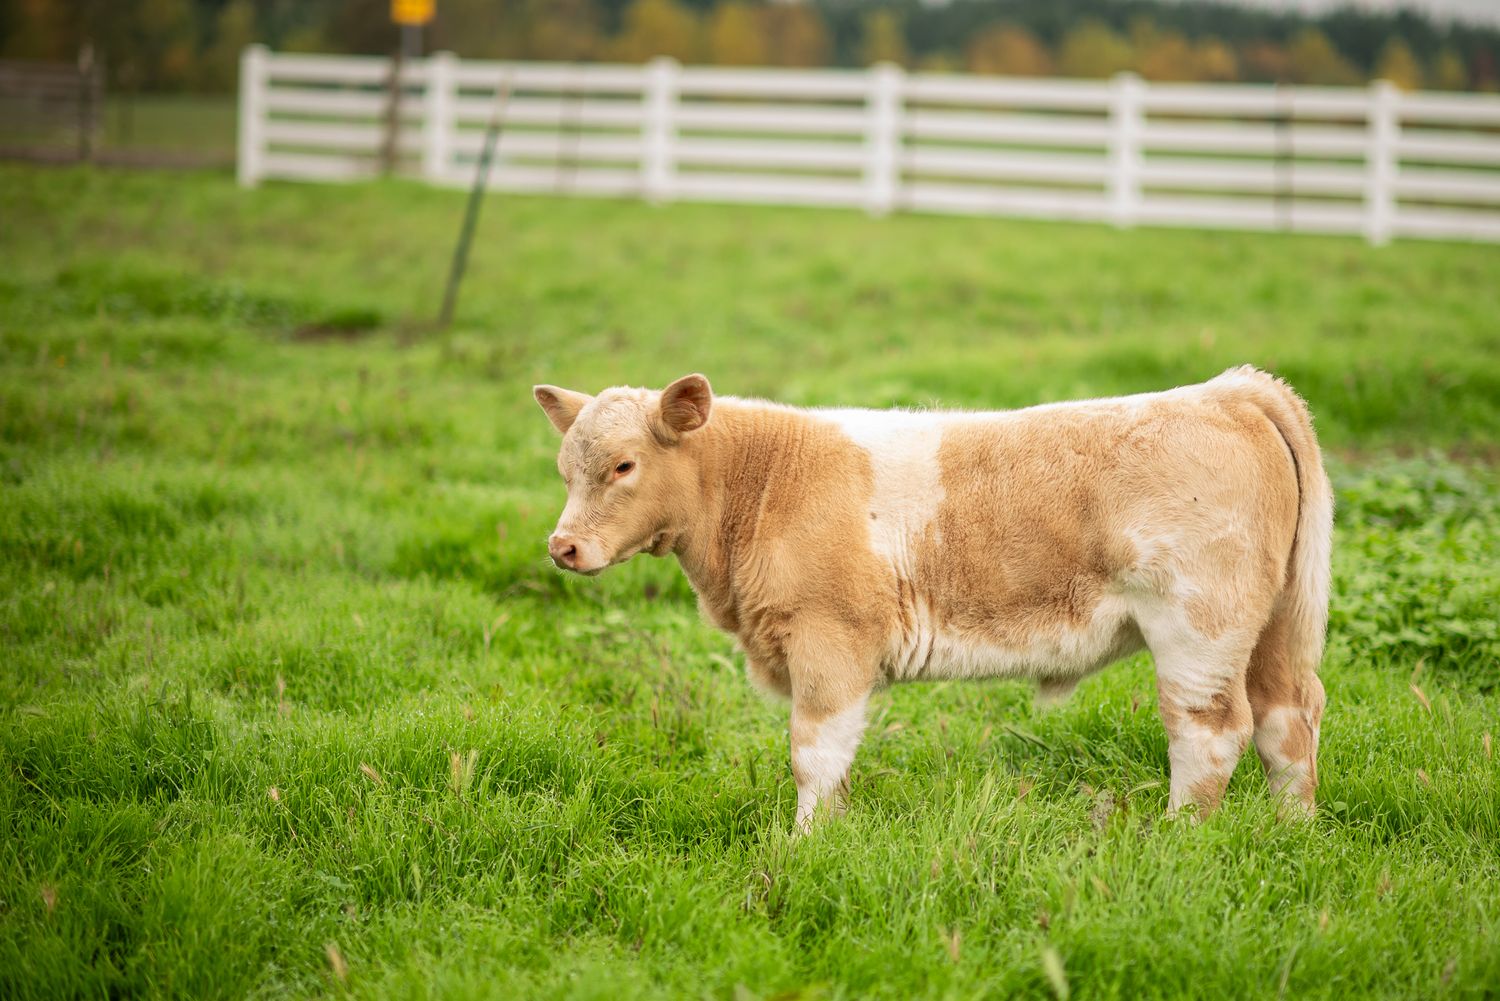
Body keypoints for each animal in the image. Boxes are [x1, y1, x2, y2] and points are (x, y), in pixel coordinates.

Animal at [533, 367, 1331, 830]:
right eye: (564, 467)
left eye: (623, 465)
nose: (562, 547)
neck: (764, 482)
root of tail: (1227, 390)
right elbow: (837, 763)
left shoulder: (830, 641)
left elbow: (815, 753)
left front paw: (804, 844)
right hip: (1272, 627)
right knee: (1288, 717)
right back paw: (1292, 830)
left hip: (1199, 626)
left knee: (1211, 729)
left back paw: (1178, 836)